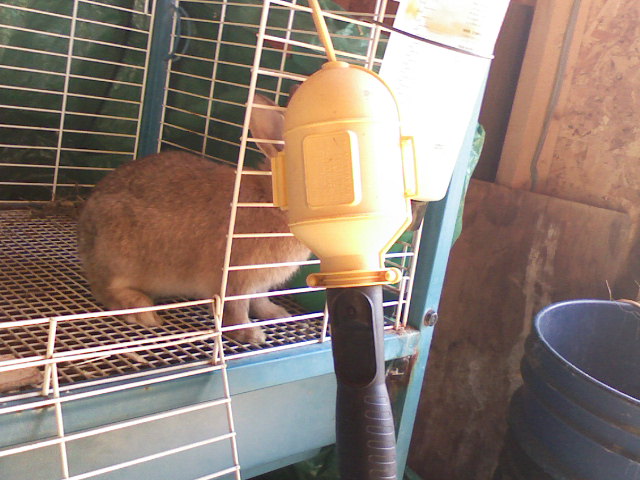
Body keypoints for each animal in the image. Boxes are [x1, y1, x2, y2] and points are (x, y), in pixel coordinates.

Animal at [77, 94, 311, 344]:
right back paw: (142, 312)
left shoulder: (259, 284)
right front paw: (251, 334)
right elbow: (235, 310)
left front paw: (277, 314)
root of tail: (85, 237)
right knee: (105, 290)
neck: (270, 199)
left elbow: (260, 301)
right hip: (122, 257)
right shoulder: (234, 279)